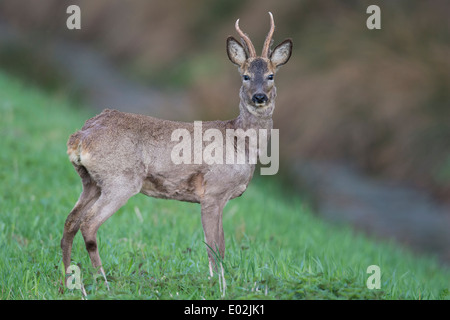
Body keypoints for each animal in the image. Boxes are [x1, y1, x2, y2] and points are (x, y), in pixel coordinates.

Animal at [60, 11, 292, 288]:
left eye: (271, 75)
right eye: (245, 75)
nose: (259, 97)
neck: (240, 142)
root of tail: (79, 138)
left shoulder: (220, 197)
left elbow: (221, 245)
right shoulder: (213, 192)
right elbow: (214, 246)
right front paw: (217, 285)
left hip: (91, 182)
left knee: (70, 222)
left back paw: (69, 282)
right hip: (121, 180)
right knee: (89, 223)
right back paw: (102, 282)